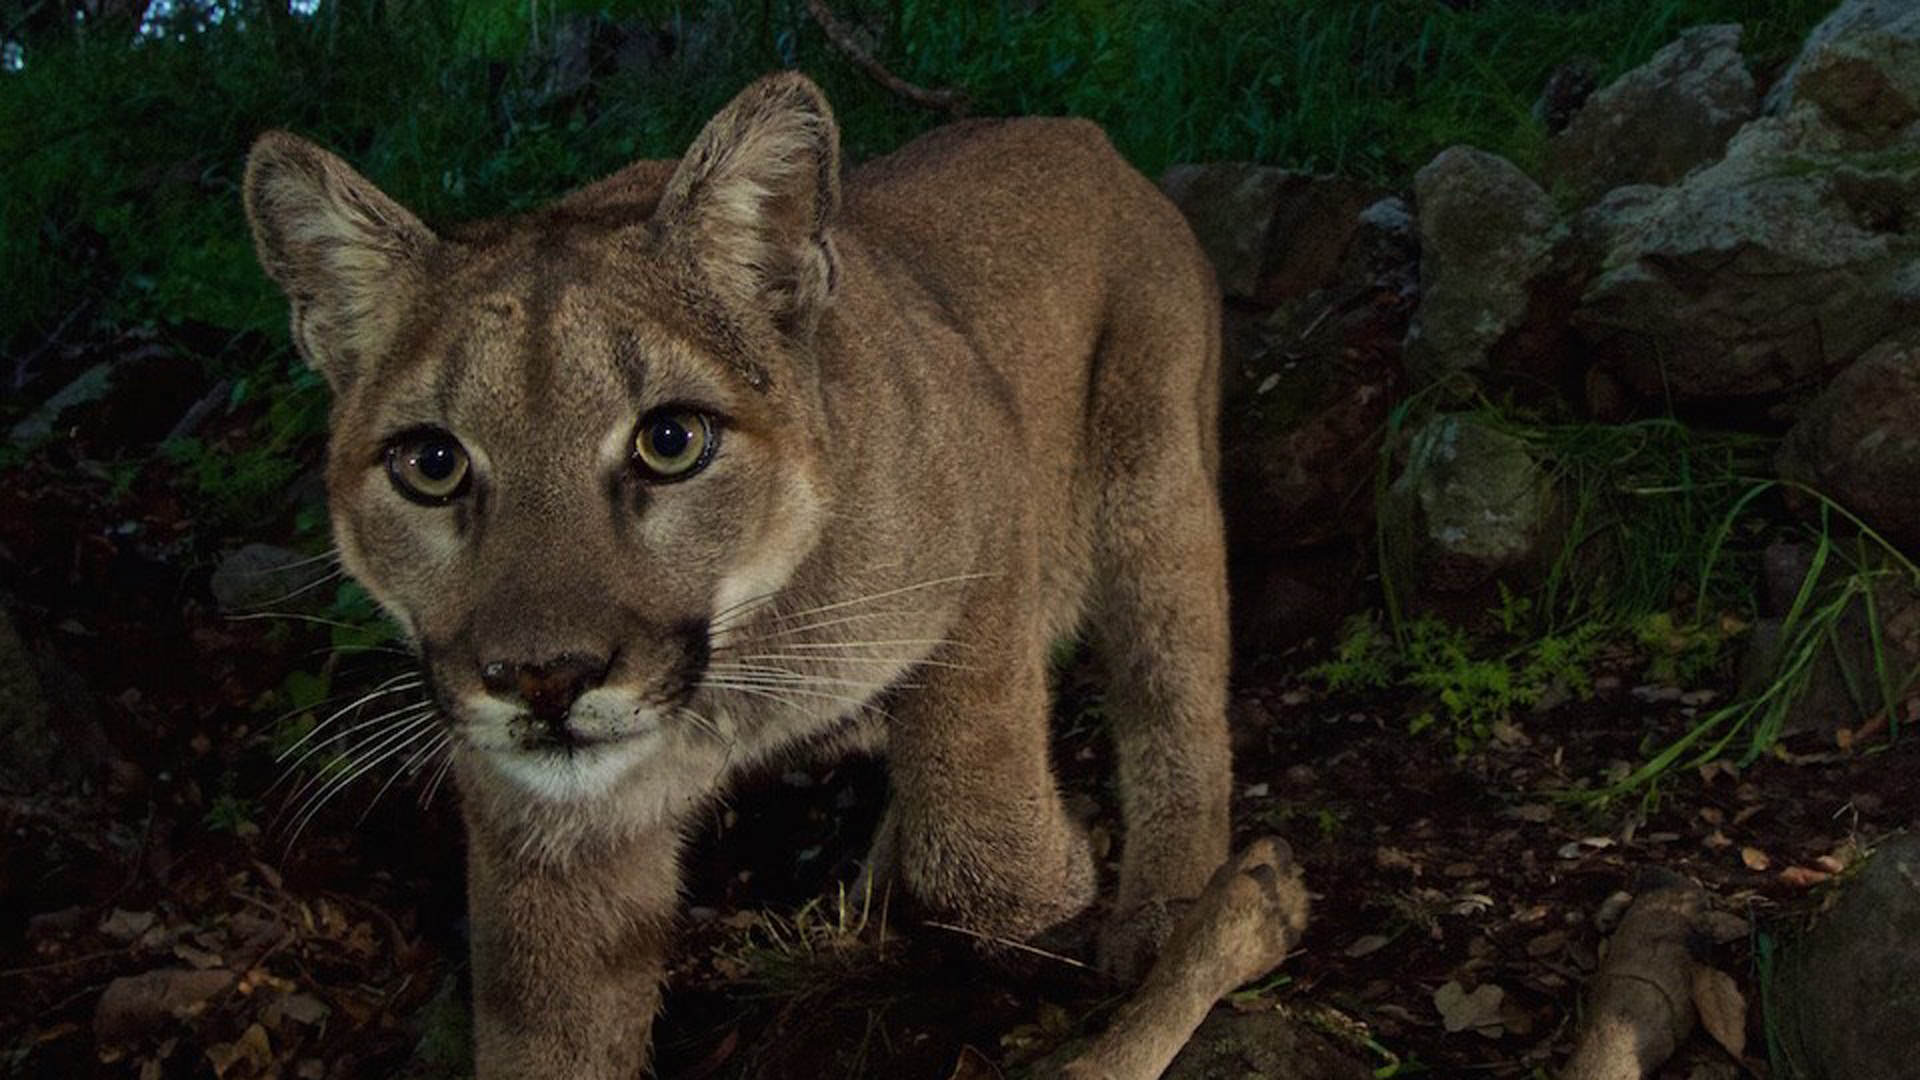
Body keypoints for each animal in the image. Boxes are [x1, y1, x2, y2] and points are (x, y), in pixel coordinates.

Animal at [243, 71, 1228, 1068]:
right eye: (431, 464)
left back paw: (1168, 914)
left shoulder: (988, 504)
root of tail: (1078, 130)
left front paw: (1040, 886)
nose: (544, 678)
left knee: (1177, 696)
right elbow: (553, 1034)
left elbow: (976, 781)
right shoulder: (545, 832)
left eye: (671, 441)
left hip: (1154, 484)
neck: (736, 671)